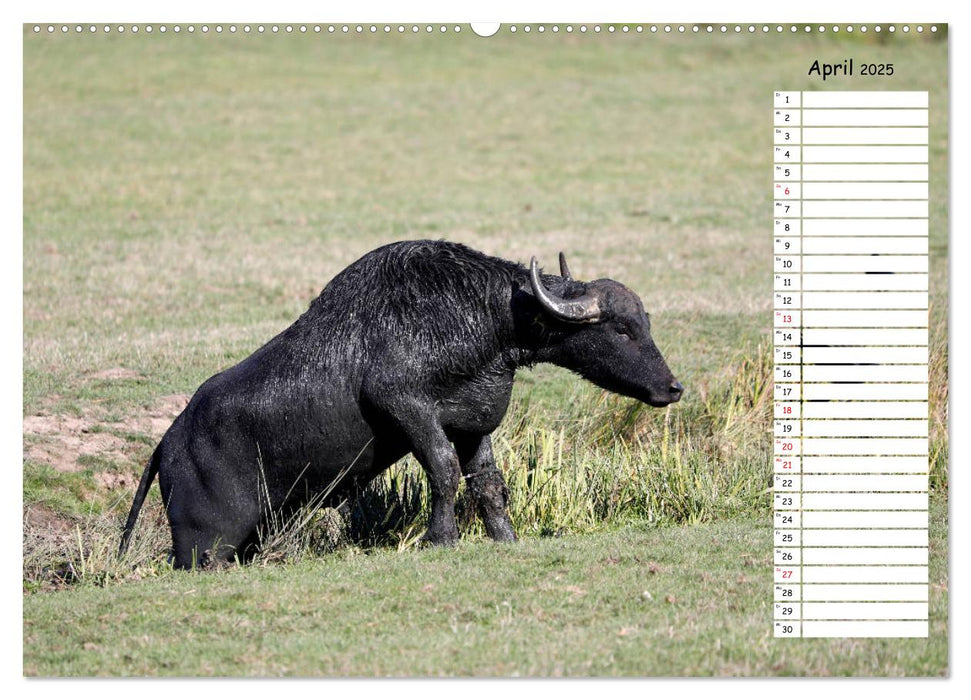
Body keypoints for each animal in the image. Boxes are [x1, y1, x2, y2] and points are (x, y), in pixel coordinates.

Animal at [121, 241, 684, 568]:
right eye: (622, 329)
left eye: (645, 323)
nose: (673, 388)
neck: (483, 318)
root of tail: (167, 443)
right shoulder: (406, 406)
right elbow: (443, 470)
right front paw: (441, 538)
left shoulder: (473, 425)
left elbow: (488, 484)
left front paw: (505, 538)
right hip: (202, 548)